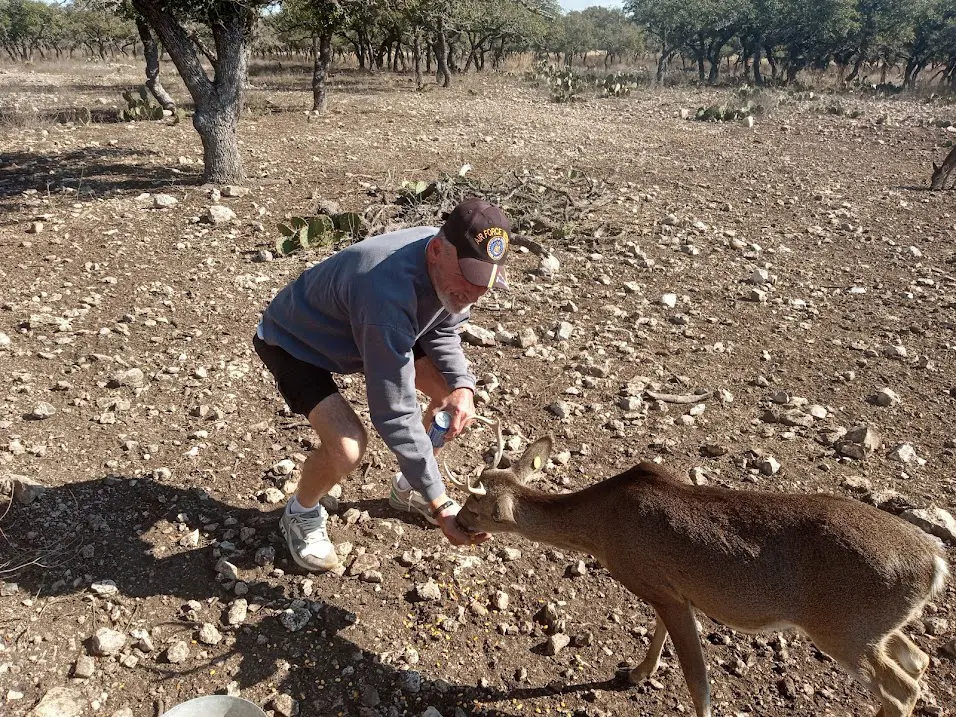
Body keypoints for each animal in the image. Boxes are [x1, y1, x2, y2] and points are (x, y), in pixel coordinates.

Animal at [448, 420, 948, 716]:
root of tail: (936, 562)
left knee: (902, 687)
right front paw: (635, 674)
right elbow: (659, 636)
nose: (454, 522)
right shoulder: (669, 588)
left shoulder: (660, 585)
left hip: (842, 629)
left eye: (475, 508)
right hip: (869, 625)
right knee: (918, 659)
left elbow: (698, 680)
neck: (603, 529)